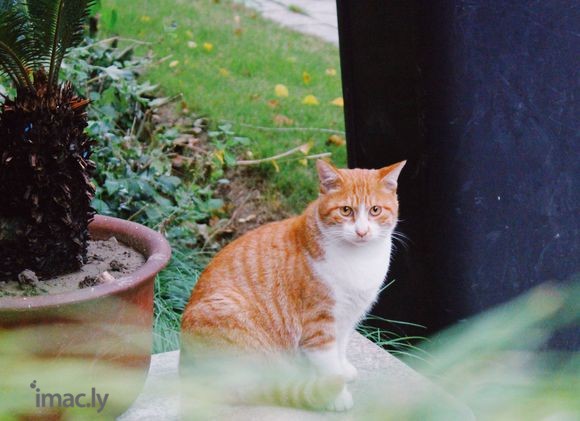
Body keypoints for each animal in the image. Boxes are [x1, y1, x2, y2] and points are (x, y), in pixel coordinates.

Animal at [180, 158, 404, 410]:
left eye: (375, 210)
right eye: (346, 210)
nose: (362, 231)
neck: (360, 259)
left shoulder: (347, 317)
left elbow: (341, 347)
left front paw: (343, 370)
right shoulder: (318, 323)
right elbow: (328, 362)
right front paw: (336, 394)